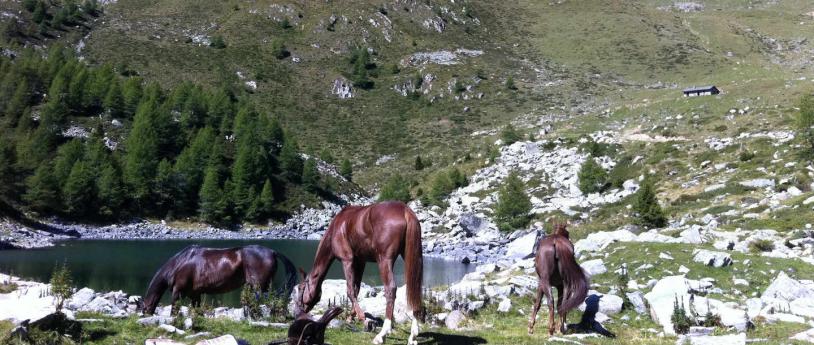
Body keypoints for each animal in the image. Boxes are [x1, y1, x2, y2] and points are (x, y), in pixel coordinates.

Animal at [142, 243, 298, 314]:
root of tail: (272, 251)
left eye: (143, 311)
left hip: (259, 287)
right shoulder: (195, 294)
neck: (180, 262)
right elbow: (196, 310)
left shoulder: (178, 292)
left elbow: (174, 310)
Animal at [298, 199, 428, 344]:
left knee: (391, 289)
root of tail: (405, 210)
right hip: (409, 257)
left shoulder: (347, 260)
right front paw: (351, 317)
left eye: (301, 287)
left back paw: (382, 334)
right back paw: (413, 335)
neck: (337, 228)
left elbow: (350, 291)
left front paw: (363, 320)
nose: (301, 307)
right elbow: (357, 289)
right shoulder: (361, 262)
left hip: (384, 260)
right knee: (414, 289)